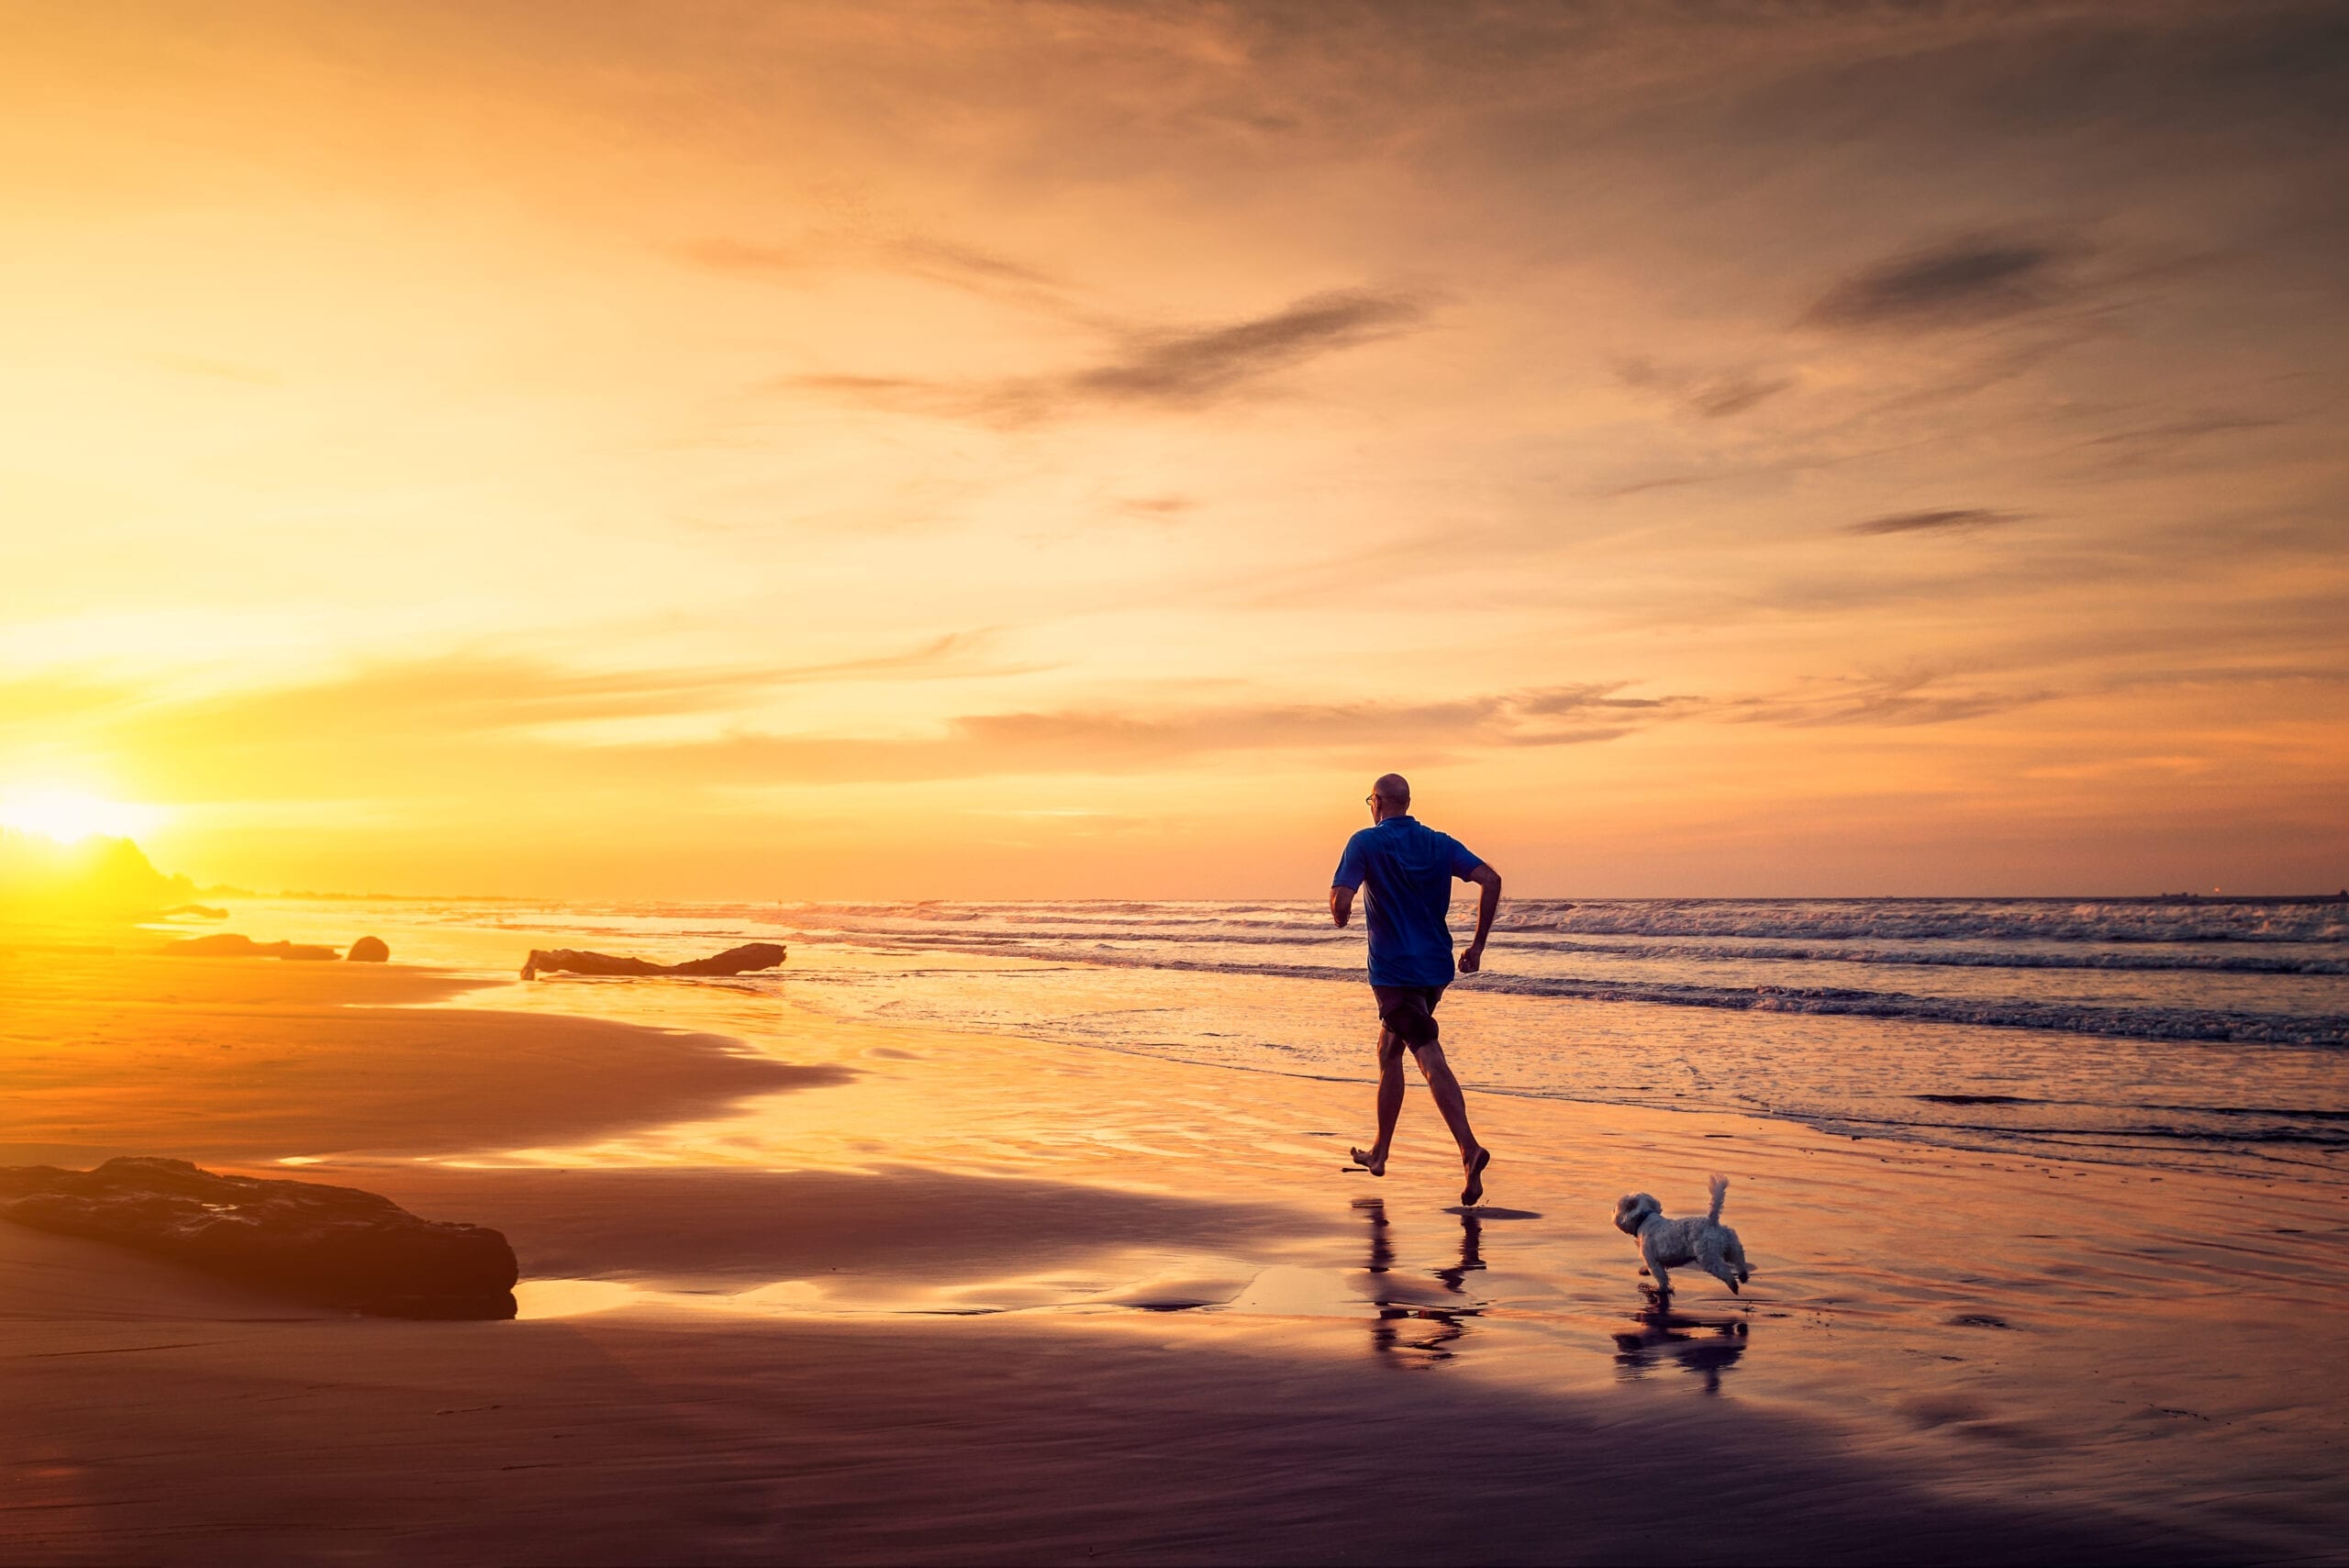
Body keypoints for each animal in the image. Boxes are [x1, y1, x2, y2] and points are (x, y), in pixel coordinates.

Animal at [1616, 1173, 1747, 1296]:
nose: (1613, 1212)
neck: (1644, 1218)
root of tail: (1712, 1222)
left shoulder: (1652, 1260)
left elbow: (1661, 1277)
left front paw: (1659, 1289)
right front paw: (1644, 1270)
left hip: (1708, 1256)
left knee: (1724, 1270)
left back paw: (1733, 1284)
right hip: (1730, 1244)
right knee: (1738, 1257)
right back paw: (1743, 1275)